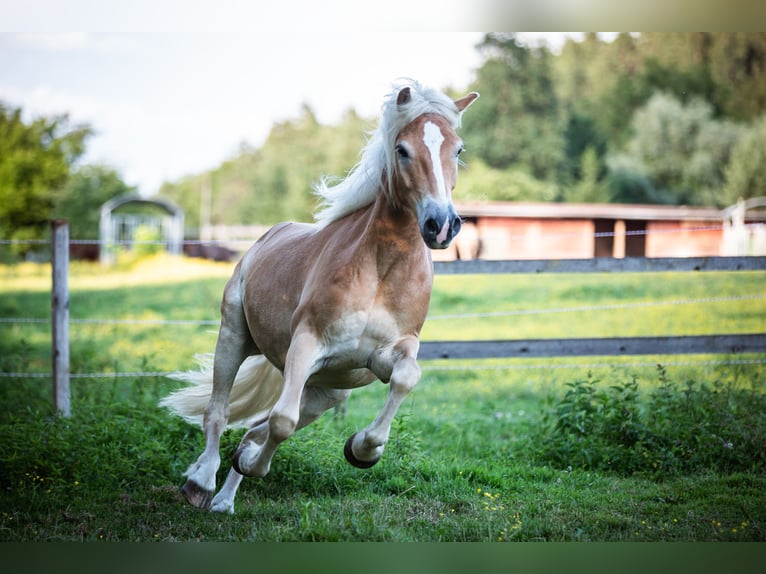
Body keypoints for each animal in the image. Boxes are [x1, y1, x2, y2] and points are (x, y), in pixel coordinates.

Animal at [160, 81, 479, 514]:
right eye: (402, 149)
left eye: (458, 150)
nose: (441, 225)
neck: (381, 270)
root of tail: (267, 236)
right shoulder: (307, 344)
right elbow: (281, 421)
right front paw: (246, 467)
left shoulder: (384, 356)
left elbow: (405, 379)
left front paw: (361, 450)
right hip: (235, 339)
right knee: (220, 412)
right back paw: (201, 482)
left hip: (323, 392)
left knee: (253, 428)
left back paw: (225, 499)